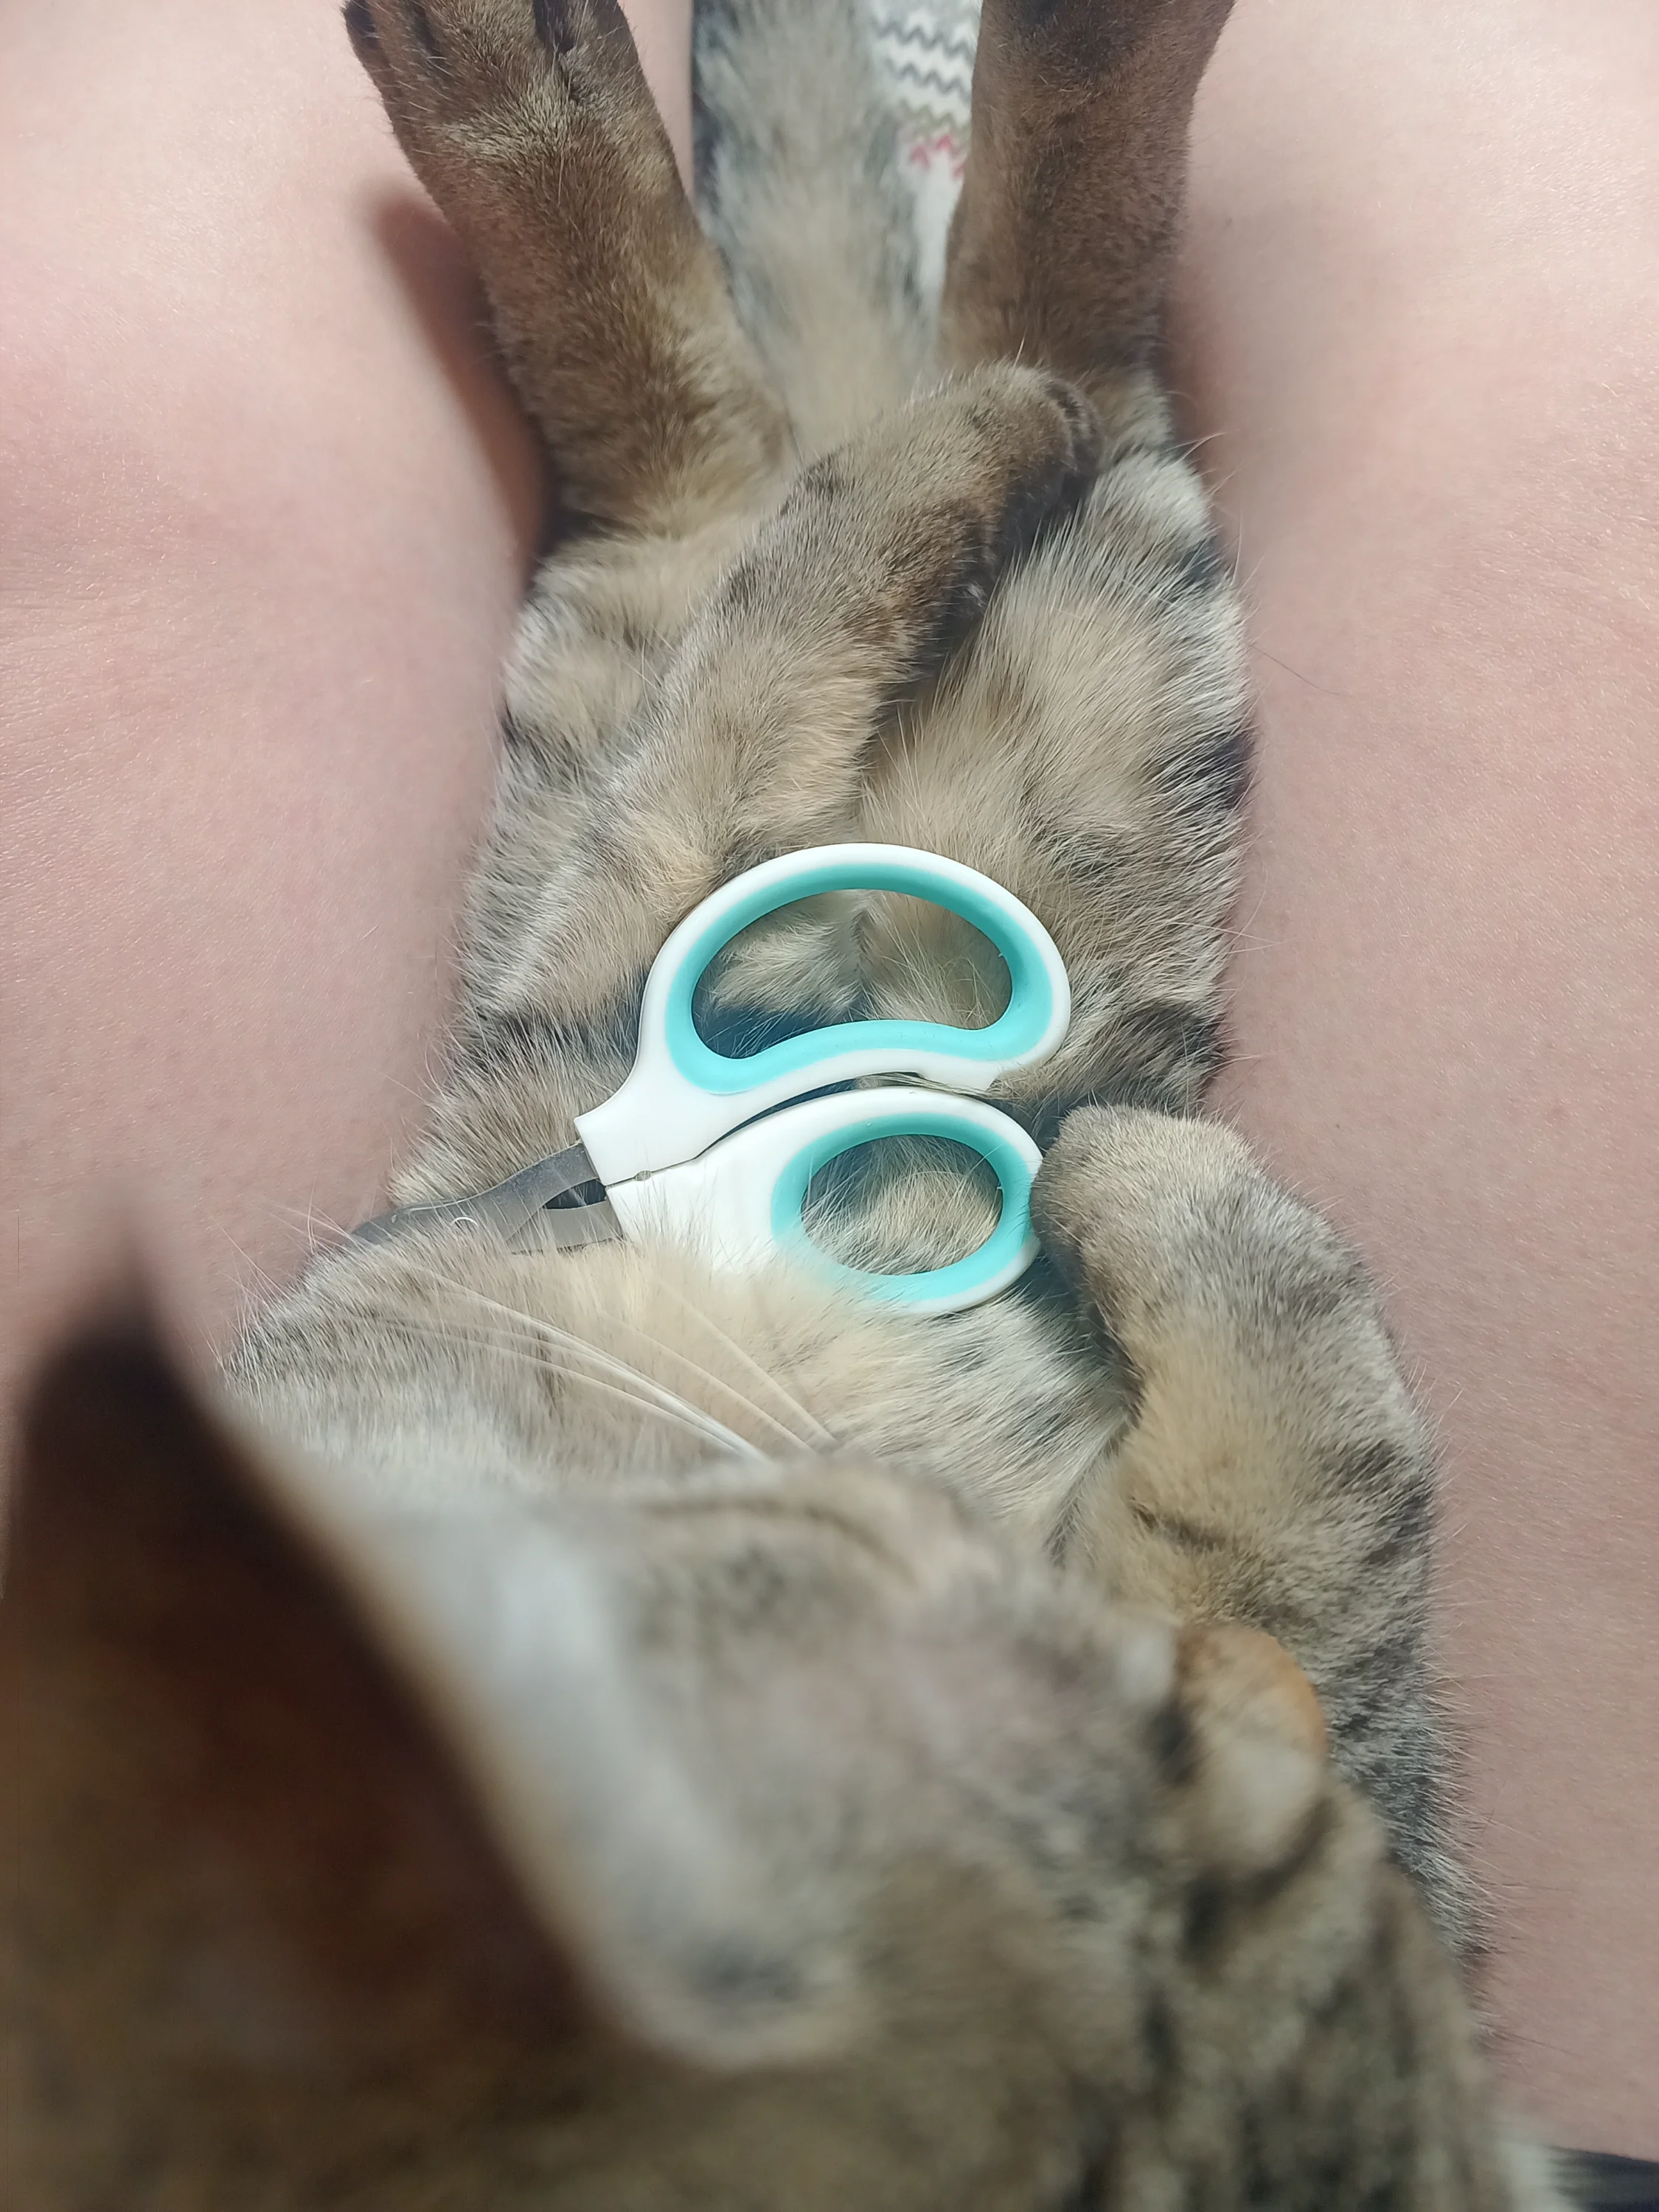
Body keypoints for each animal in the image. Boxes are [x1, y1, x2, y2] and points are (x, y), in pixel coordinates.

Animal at [0, 0, 1574, 2203]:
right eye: (1195, 1772)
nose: (1234, 1715)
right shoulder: (553, 1094)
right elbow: (1323, 1507)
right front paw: (1190, 1226)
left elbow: (1317, 1525)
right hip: (887, 799)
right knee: (794, 480)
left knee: (893, 423)